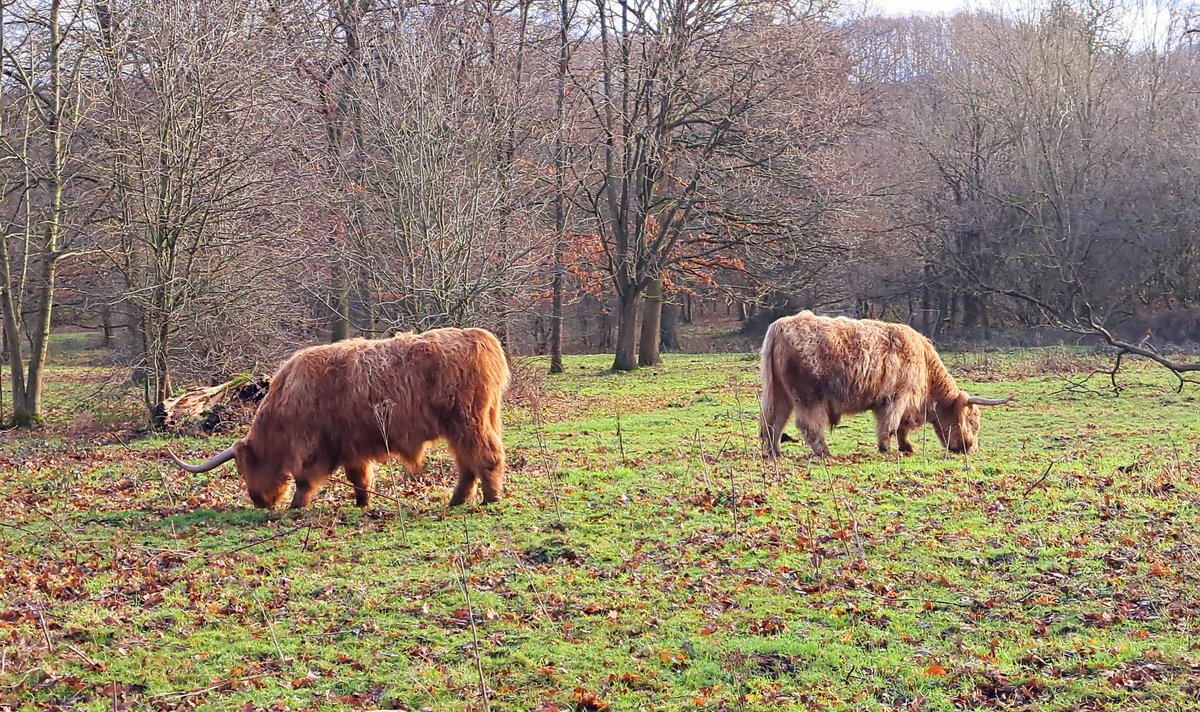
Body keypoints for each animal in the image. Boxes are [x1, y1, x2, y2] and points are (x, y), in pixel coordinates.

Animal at [169, 327, 510, 510]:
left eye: (245, 467)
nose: (258, 501)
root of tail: (479, 336)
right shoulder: (351, 444)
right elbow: (359, 477)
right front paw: (362, 503)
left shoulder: (311, 445)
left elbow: (304, 478)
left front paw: (296, 506)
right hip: (465, 426)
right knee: (467, 464)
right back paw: (457, 500)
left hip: (468, 422)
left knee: (486, 457)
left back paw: (490, 499)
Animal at [759, 310, 1011, 458]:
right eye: (972, 421)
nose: (971, 448)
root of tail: (780, 325)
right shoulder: (897, 397)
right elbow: (890, 425)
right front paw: (887, 449)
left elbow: (901, 427)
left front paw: (906, 446)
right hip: (808, 396)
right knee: (808, 425)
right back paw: (825, 452)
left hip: (780, 393)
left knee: (774, 421)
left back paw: (775, 452)